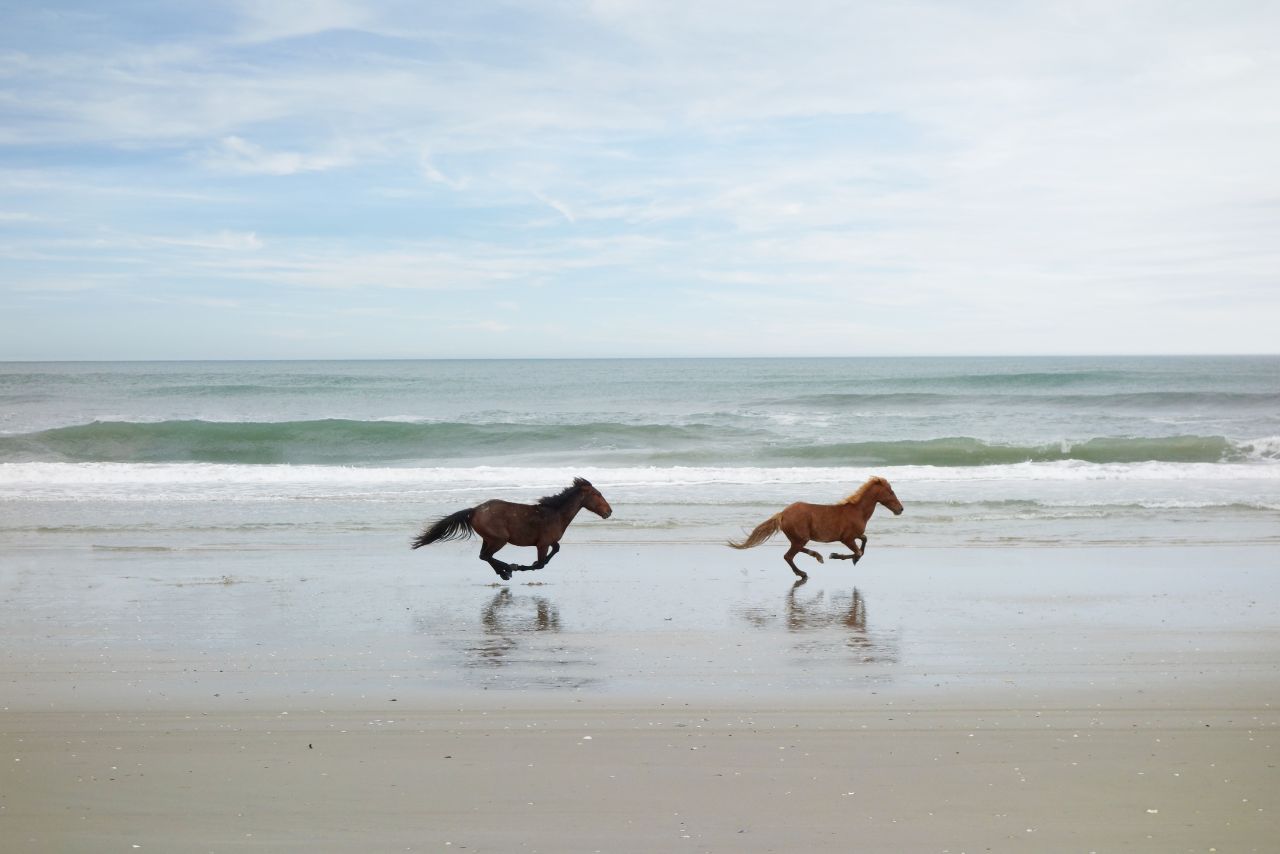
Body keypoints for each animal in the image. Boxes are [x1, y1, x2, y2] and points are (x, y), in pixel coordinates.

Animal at [411, 478, 612, 580]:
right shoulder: (542, 543)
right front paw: (520, 566)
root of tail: (474, 510)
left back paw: (504, 572)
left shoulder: (550, 541)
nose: (609, 511)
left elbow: (554, 551)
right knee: (486, 556)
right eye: (597, 494)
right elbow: (540, 564)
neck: (555, 513)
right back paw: (507, 569)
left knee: (484, 556)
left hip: (489, 539)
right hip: (499, 539)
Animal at [727, 476, 903, 580]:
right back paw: (803, 572)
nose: (900, 509)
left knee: (795, 552)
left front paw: (850, 558)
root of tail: (782, 513)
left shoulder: (855, 535)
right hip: (801, 538)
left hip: (799, 539)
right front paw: (837, 555)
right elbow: (858, 551)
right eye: (891, 492)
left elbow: (864, 541)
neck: (857, 511)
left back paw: (816, 557)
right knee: (788, 556)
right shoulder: (846, 538)